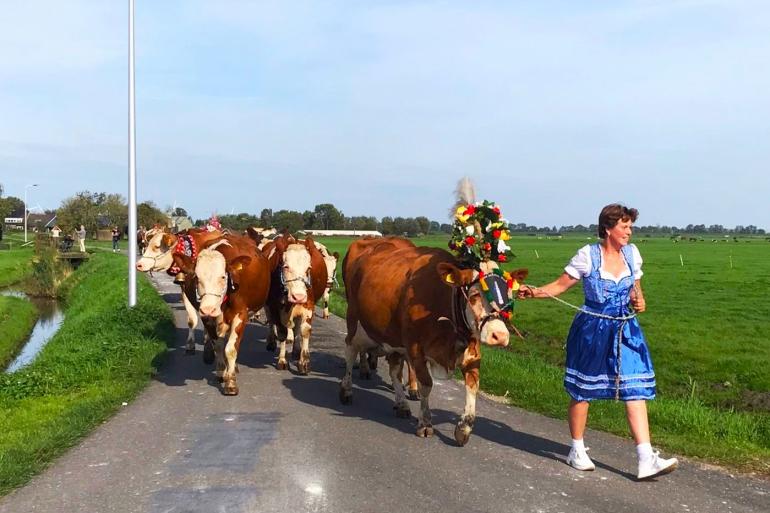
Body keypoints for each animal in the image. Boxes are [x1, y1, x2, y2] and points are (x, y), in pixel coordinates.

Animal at [135, 226, 222, 358]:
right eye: (148, 244)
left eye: (156, 246)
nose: (138, 265)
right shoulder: (185, 289)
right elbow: (192, 320)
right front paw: (190, 345)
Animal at [171, 234, 270, 394]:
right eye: (196, 277)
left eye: (223, 277)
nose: (208, 309)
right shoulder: (206, 317)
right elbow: (217, 345)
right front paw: (221, 371)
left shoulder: (240, 314)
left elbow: (231, 349)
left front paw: (231, 382)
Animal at [342, 237, 528, 444]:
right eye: (474, 295)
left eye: (509, 296)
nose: (500, 336)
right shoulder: (415, 349)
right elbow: (426, 385)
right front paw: (425, 424)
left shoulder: (472, 353)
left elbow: (473, 387)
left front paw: (464, 428)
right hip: (355, 322)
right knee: (350, 352)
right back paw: (346, 390)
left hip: (393, 338)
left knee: (394, 371)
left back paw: (402, 404)